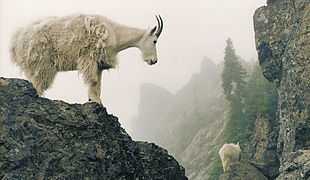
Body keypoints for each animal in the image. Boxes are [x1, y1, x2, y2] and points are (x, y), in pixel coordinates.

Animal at [10, 14, 163, 103]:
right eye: (155, 41)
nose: (153, 61)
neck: (115, 33)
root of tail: (16, 40)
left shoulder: (99, 64)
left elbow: (98, 84)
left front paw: (95, 100)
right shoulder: (89, 58)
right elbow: (93, 81)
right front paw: (94, 101)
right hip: (41, 62)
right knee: (38, 82)